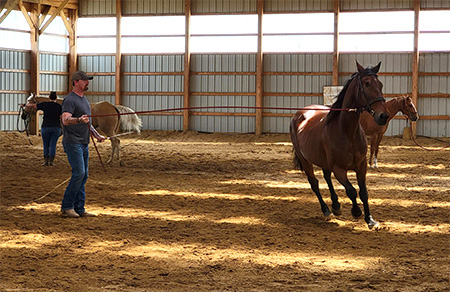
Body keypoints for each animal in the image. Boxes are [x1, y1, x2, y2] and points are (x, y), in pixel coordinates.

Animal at [290, 62, 388, 230]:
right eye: (367, 83)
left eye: (380, 84)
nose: (383, 116)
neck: (347, 131)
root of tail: (299, 114)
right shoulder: (339, 169)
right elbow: (351, 191)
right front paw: (356, 211)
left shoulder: (361, 166)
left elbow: (364, 193)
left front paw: (370, 220)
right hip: (305, 160)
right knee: (314, 183)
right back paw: (326, 209)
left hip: (324, 162)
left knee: (327, 178)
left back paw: (335, 205)